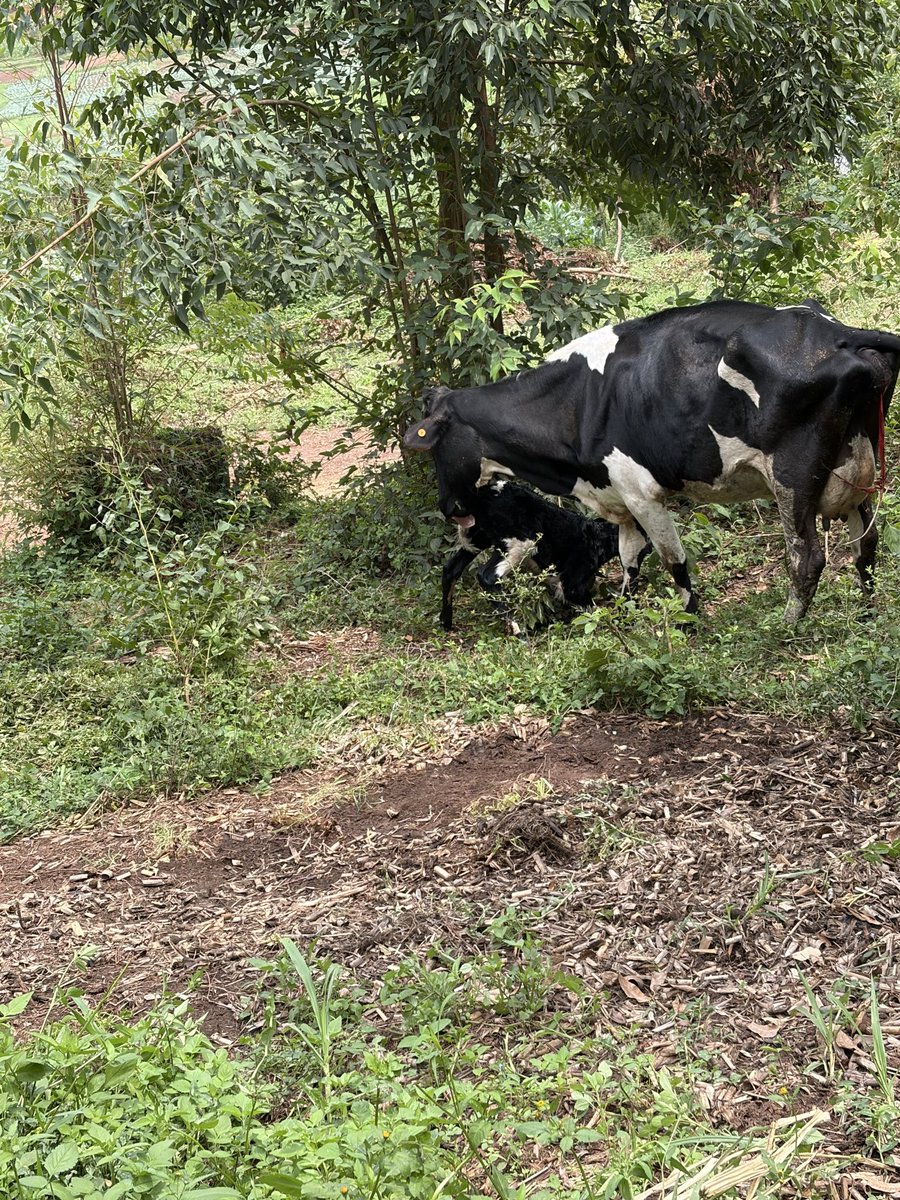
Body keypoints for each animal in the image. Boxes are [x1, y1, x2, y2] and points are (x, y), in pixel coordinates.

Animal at [440, 479, 627, 630]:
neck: (596, 536)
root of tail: (487, 492)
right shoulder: (573, 582)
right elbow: (594, 610)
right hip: (521, 543)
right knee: (487, 576)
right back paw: (517, 630)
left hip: (479, 538)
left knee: (451, 568)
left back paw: (446, 622)